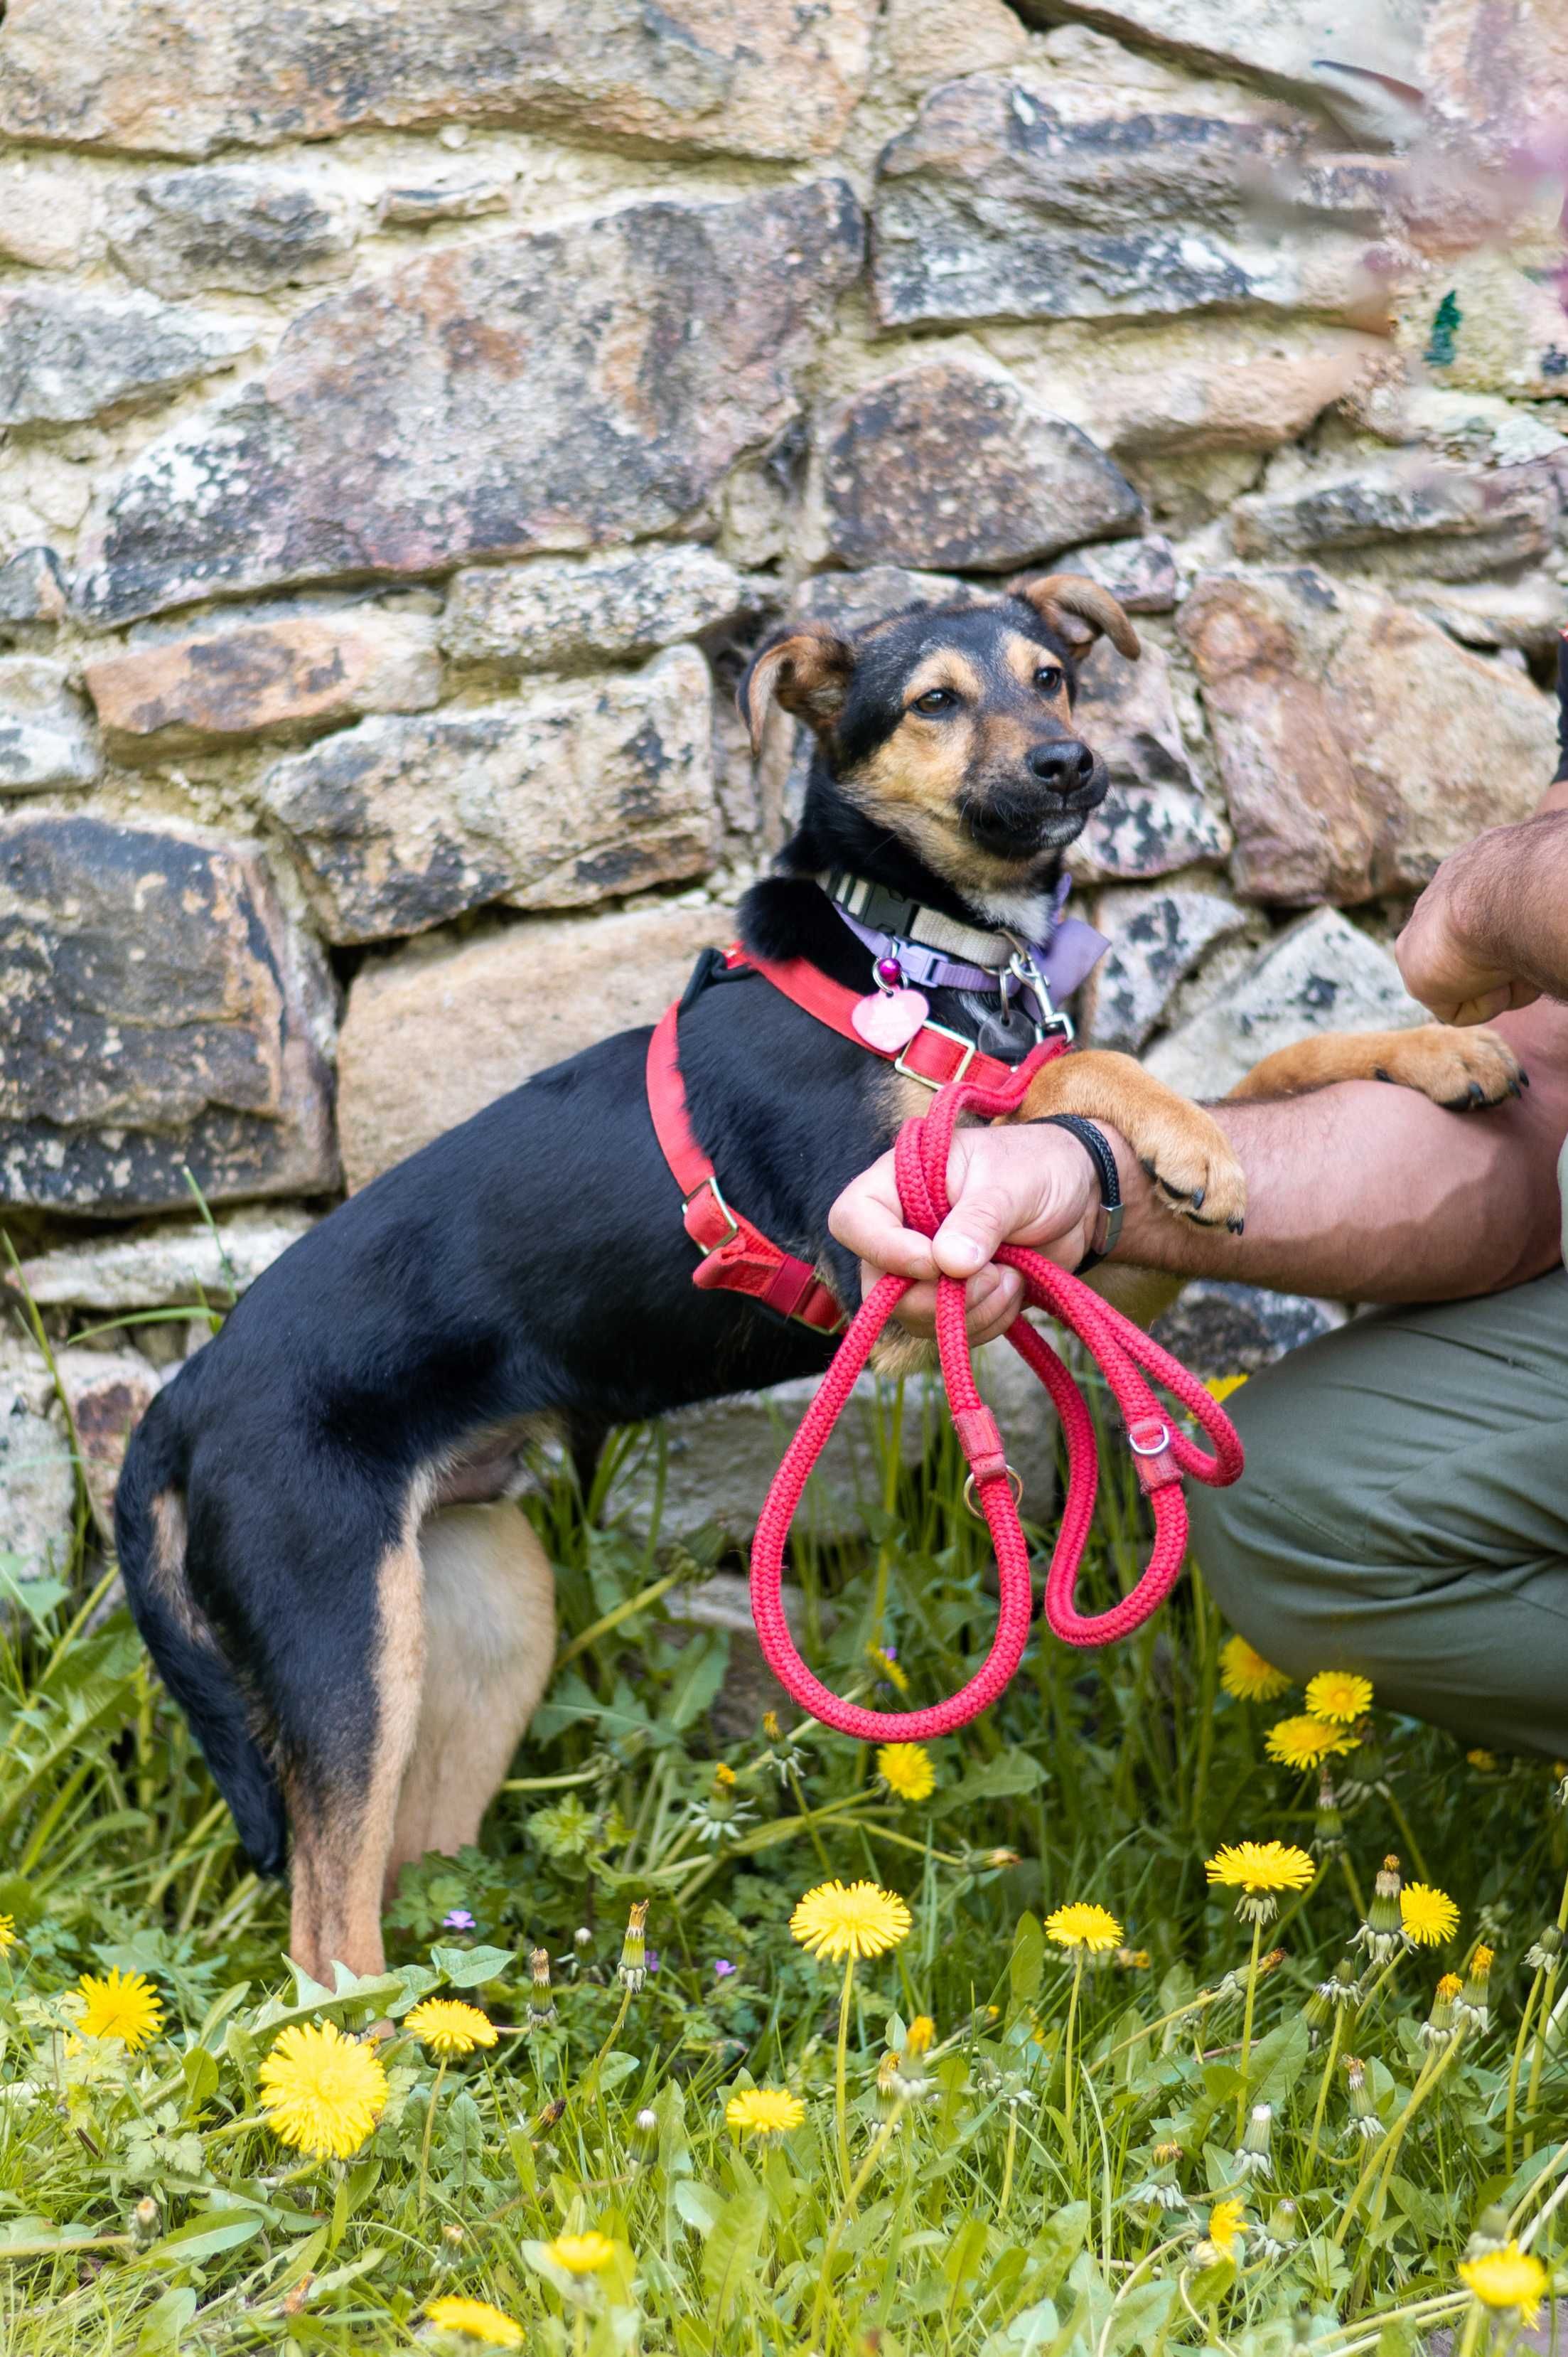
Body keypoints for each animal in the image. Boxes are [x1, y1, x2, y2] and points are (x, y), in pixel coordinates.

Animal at [116, 579, 1518, 1979]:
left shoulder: (1072, 1252)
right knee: (323, 1920)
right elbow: (1051, 1075)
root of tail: (184, 1398)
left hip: (477, 1614)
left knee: (404, 1870)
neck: (930, 950)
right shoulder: (878, 1243)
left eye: (1052, 675)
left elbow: (1261, 1066)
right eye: (935, 700)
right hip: (337, 1624)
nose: (1069, 764)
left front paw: (1434, 1052)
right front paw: (1185, 1134)